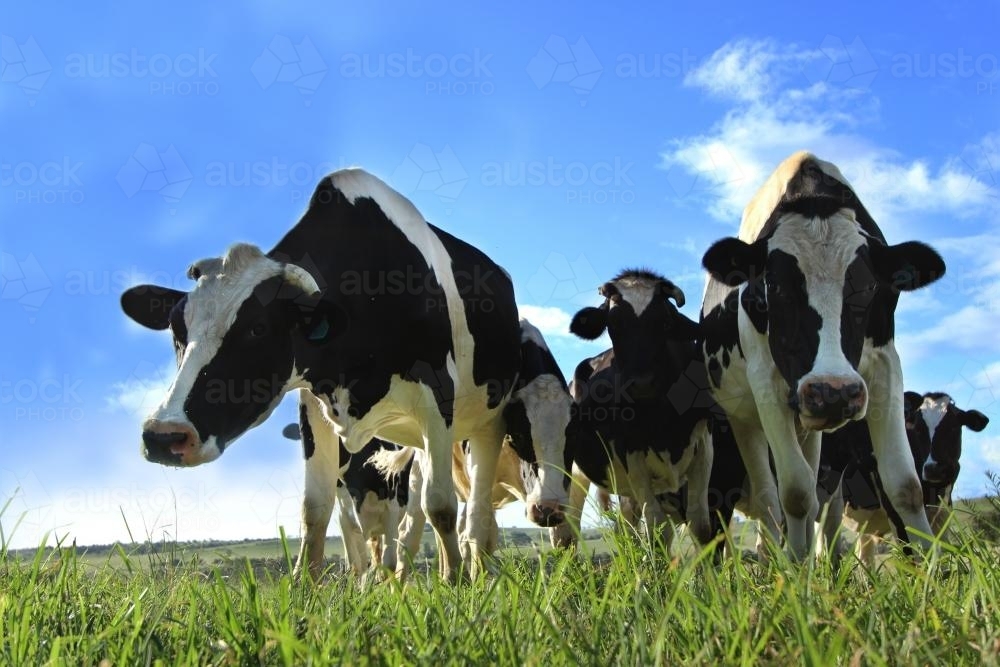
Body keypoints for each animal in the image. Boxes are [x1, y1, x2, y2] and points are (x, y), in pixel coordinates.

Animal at [548, 269, 717, 553]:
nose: (641, 383)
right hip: (573, 470)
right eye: (612, 325)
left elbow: (701, 527)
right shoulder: (630, 454)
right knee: (566, 531)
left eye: (665, 323)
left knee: (626, 524)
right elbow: (657, 526)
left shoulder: (704, 446)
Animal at [700, 151, 946, 560]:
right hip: (746, 418)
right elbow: (795, 492)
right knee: (770, 501)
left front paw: (930, 567)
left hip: (809, 424)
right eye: (775, 284)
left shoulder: (885, 365)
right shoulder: (765, 380)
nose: (834, 391)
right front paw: (795, 572)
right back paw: (779, 562)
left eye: (868, 286)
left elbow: (905, 485)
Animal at [819, 391, 989, 564]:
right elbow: (909, 555)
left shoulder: (944, 512)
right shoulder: (896, 508)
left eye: (954, 427)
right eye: (918, 430)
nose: (934, 469)